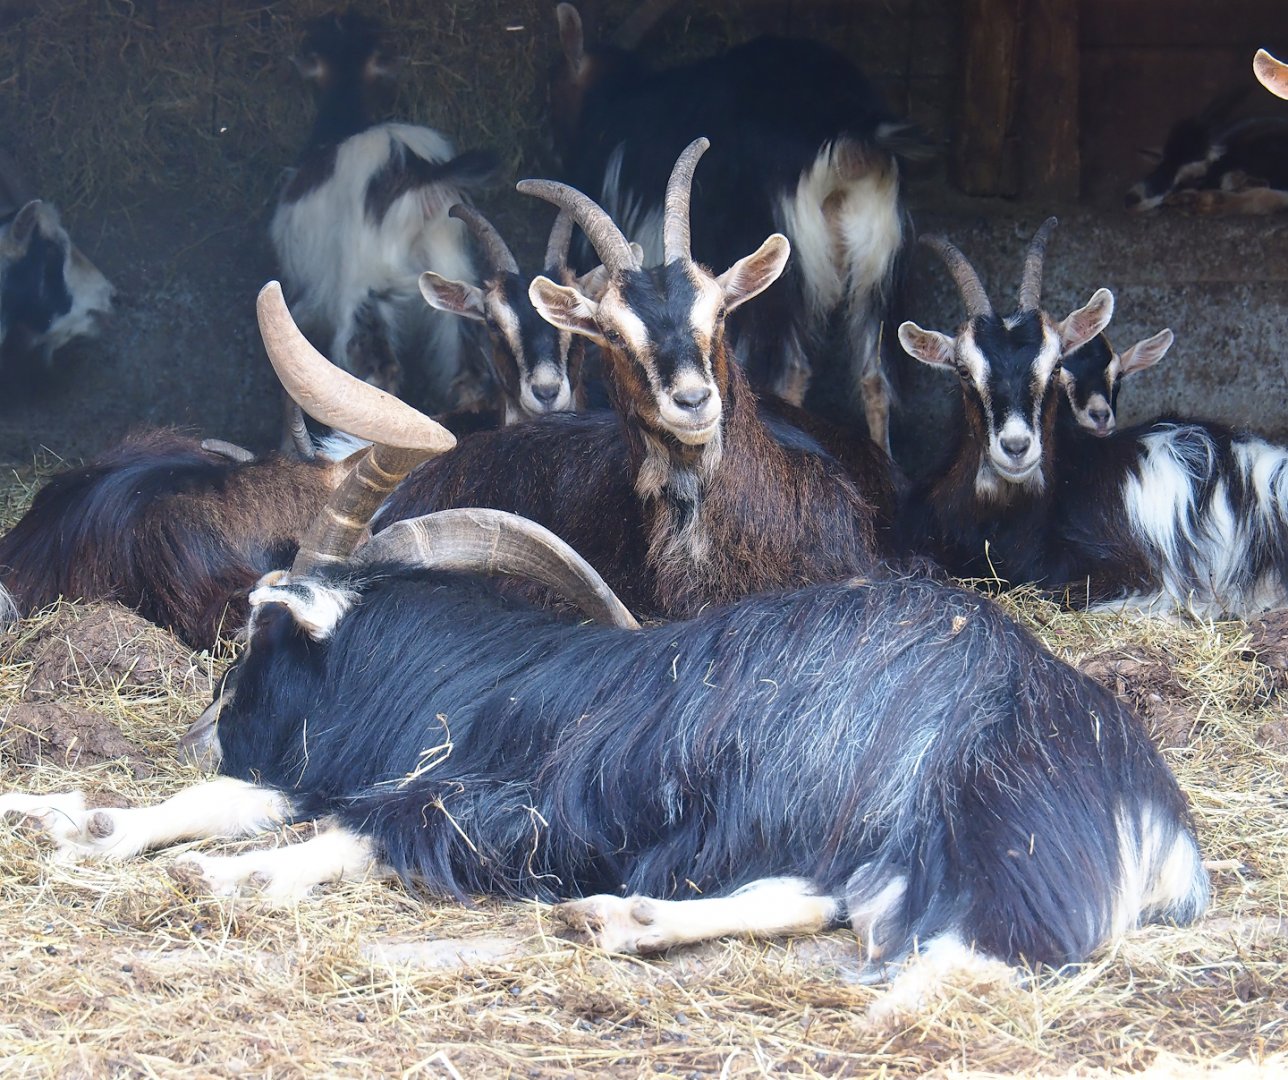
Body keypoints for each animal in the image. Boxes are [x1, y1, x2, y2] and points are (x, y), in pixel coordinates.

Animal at [1, 291, 1208, 990]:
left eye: (263, 624)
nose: (205, 734)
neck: (457, 688)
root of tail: (1136, 796)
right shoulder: (335, 770)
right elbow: (228, 808)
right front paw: (77, 820)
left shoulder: (511, 806)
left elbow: (365, 833)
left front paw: (229, 875)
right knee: (821, 896)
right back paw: (620, 919)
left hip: (858, 808)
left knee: (873, 914)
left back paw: (616, 914)